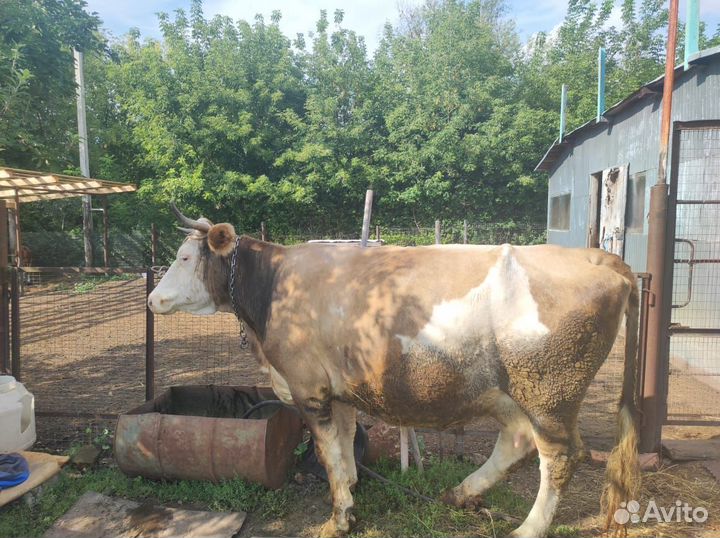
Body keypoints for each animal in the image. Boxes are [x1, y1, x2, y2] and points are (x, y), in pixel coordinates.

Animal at [148, 205, 640, 538]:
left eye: (186, 258)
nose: (153, 299)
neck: (274, 289)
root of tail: (599, 259)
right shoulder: (337, 387)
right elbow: (345, 443)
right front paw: (350, 492)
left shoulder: (309, 387)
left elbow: (326, 451)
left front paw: (338, 517)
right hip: (507, 389)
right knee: (517, 439)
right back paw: (460, 494)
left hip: (550, 389)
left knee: (560, 456)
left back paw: (527, 528)